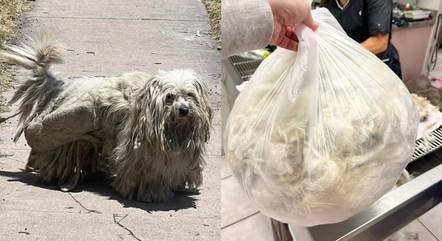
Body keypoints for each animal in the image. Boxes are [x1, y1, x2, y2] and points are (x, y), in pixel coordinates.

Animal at [0, 37, 212, 201]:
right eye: (169, 97)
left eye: (189, 94)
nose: (184, 110)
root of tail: (63, 86)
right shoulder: (139, 157)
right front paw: (151, 194)